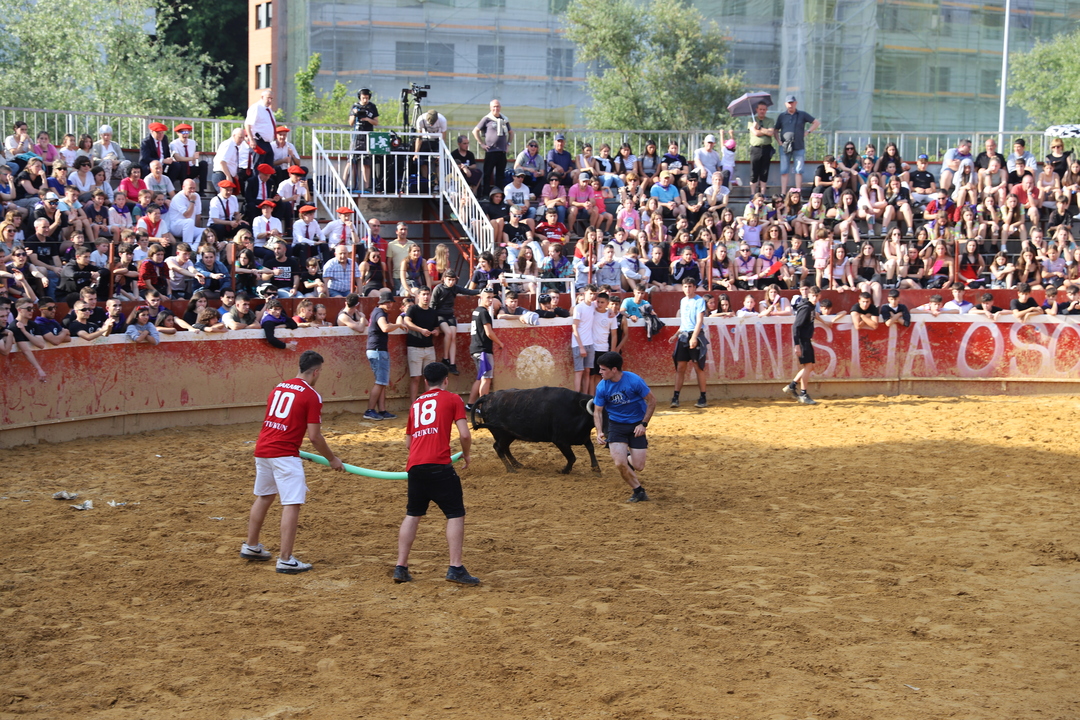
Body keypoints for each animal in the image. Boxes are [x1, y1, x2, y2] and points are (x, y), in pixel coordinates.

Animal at [470, 387, 601, 475]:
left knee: (504, 447)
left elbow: (591, 448)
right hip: (502, 434)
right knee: (498, 447)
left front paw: (596, 468)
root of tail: (487, 397)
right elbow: (572, 457)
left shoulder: (583, 436)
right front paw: (564, 470)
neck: (577, 410)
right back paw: (511, 469)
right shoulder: (560, 441)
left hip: (509, 435)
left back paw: (517, 464)